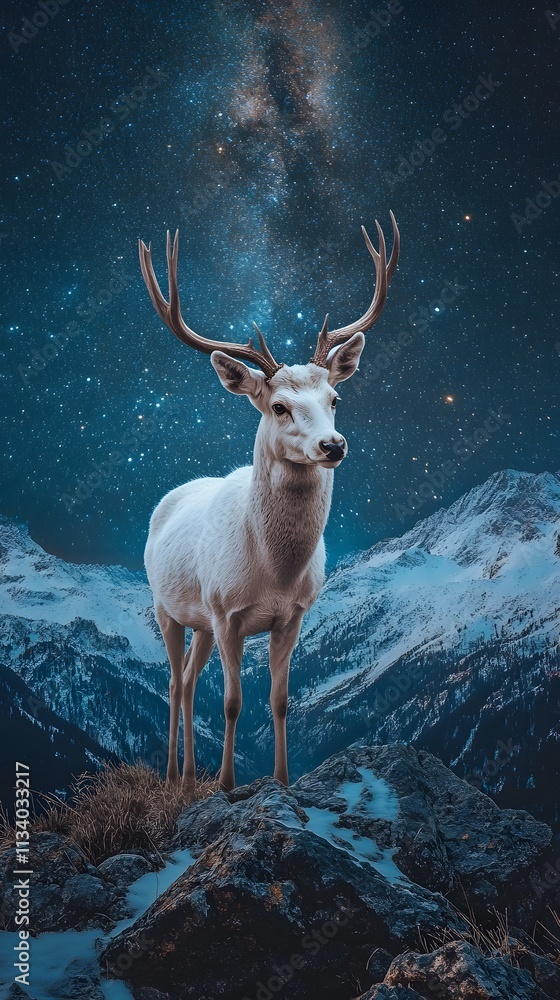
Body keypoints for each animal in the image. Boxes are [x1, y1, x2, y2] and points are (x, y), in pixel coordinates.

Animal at [139, 214, 400, 790]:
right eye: (278, 406)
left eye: (334, 398)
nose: (333, 445)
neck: (274, 570)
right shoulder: (226, 612)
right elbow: (233, 703)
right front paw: (227, 786)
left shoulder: (294, 615)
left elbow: (280, 702)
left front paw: (280, 781)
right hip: (168, 607)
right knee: (175, 683)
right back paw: (172, 778)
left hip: (199, 620)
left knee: (189, 681)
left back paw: (187, 778)